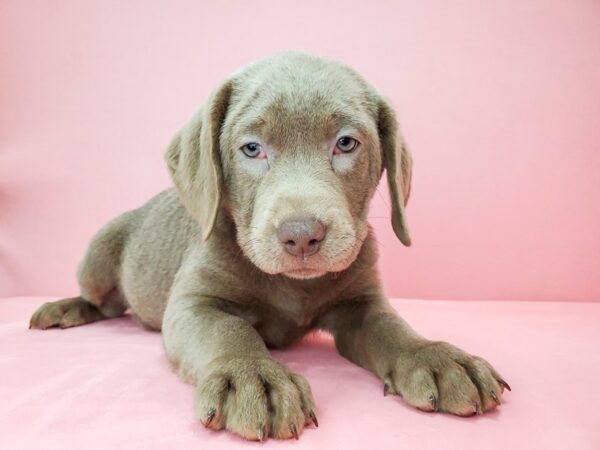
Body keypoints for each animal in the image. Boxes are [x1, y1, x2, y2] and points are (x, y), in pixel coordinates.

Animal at [30, 51, 508, 440]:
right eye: (252, 148)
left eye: (346, 143)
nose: (301, 235)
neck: (293, 285)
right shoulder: (192, 304)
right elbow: (229, 328)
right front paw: (252, 377)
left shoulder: (362, 302)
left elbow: (392, 328)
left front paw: (436, 357)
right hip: (98, 255)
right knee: (105, 302)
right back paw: (64, 309)